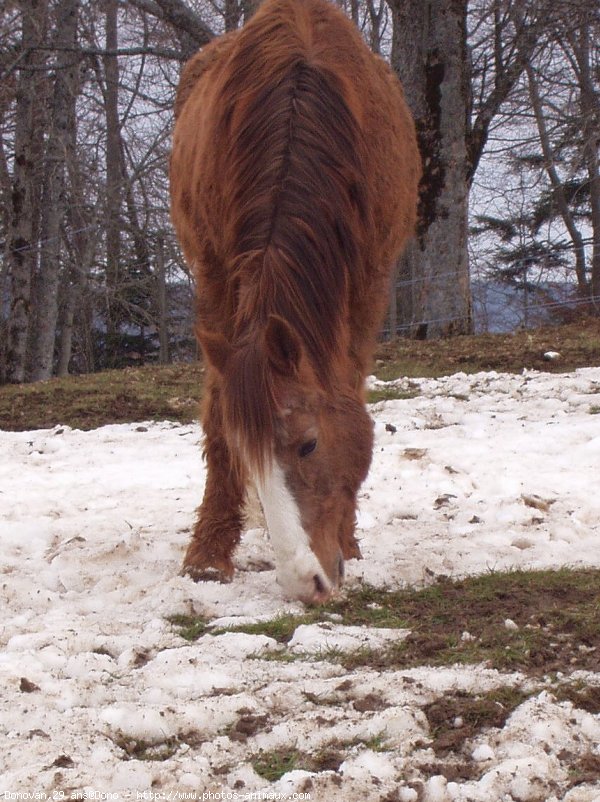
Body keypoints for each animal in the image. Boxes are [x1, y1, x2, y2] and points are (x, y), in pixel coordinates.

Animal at [171, 0, 420, 600]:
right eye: (249, 456)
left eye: (308, 445)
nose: (307, 583)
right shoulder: (214, 275)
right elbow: (218, 418)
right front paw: (208, 556)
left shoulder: (368, 284)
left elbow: (350, 386)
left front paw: (349, 539)